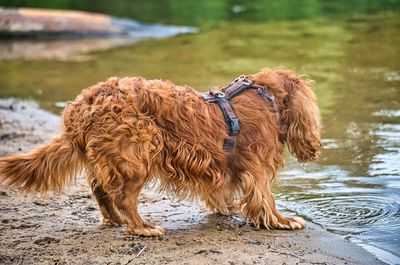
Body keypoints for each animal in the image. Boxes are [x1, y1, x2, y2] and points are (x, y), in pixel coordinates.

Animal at [0, 68, 320, 235]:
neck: (265, 94)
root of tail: (82, 105)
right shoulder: (256, 167)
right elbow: (265, 198)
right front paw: (282, 220)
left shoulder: (220, 165)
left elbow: (220, 190)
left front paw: (226, 208)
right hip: (138, 152)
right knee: (124, 197)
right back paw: (141, 227)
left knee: (101, 190)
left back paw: (116, 220)